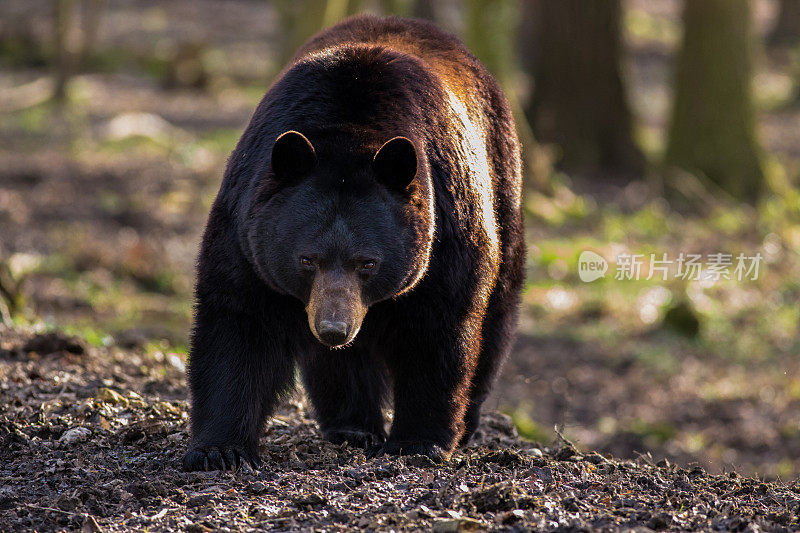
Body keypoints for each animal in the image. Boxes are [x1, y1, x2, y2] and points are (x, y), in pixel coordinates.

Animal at [184, 13, 528, 470]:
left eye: (369, 262)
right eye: (307, 259)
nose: (333, 327)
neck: (350, 130)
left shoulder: (447, 232)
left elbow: (438, 329)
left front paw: (419, 441)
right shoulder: (246, 231)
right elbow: (239, 322)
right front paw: (218, 450)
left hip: (502, 185)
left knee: (498, 311)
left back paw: (466, 421)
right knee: (341, 362)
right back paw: (352, 426)